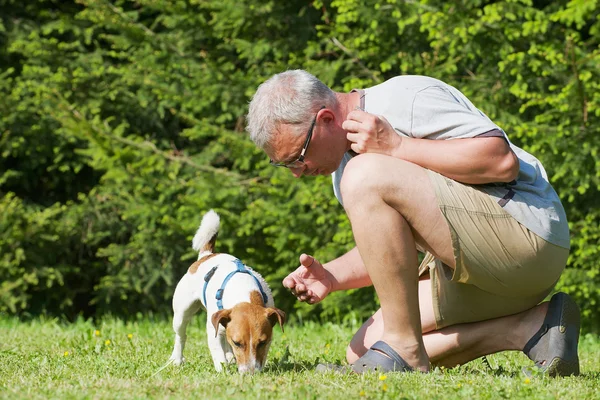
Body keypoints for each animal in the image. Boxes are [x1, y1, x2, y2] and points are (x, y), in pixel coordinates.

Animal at [169, 211, 286, 374]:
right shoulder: (213, 329)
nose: (250, 373)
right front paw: (224, 371)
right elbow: (218, 353)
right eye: (237, 343)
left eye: (262, 342)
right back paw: (177, 359)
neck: (244, 292)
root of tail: (206, 254)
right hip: (181, 313)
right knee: (181, 335)